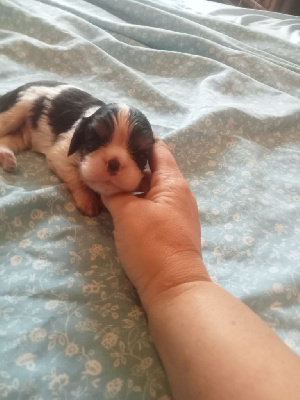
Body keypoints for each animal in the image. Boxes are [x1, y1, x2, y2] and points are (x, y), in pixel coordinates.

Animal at [0, 81, 155, 216]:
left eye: (140, 155)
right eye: (93, 141)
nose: (114, 163)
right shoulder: (60, 153)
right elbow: (77, 176)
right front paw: (88, 200)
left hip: (22, 134)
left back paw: (7, 158)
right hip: (16, 110)